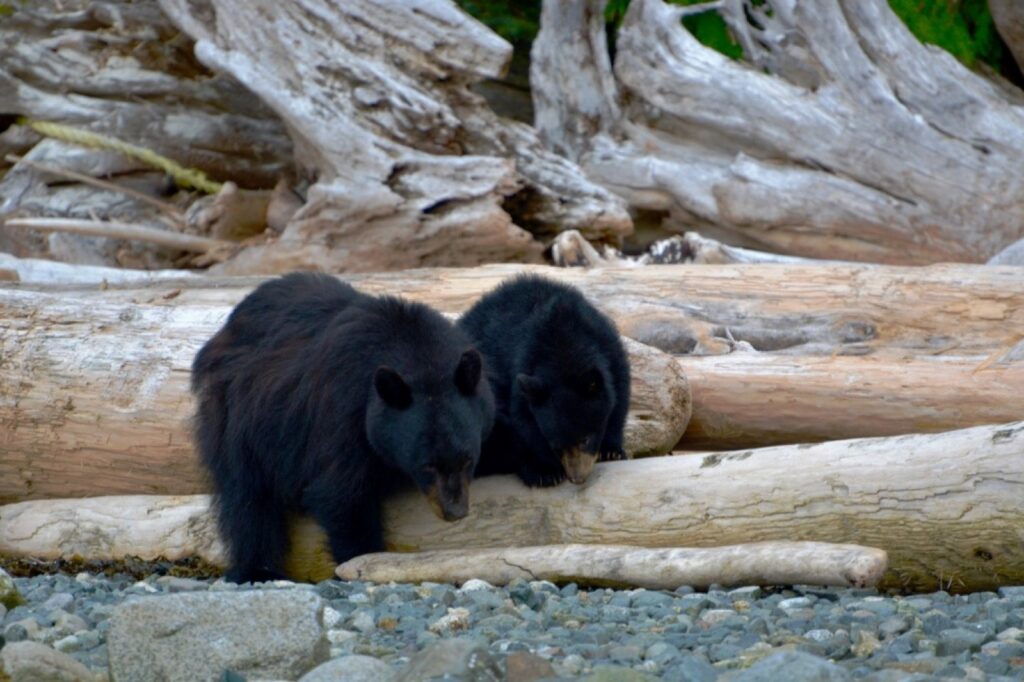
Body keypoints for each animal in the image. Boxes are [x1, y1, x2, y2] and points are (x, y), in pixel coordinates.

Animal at [194, 270, 495, 577]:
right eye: (427, 466)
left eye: (468, 459)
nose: (455, 512)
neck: (420, 357)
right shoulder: (344, 416)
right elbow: (341, 494)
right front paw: (361, 558)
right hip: (239, 418)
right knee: (248, 496)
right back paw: (258, 569)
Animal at [458, 274, 630, 485]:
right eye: (556, 445)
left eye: (585, 439)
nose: (577, 478)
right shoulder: (517, 372)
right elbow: (522, 424)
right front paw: (544, 471)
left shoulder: (609, 349)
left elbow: (619, 399)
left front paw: (611, 451)